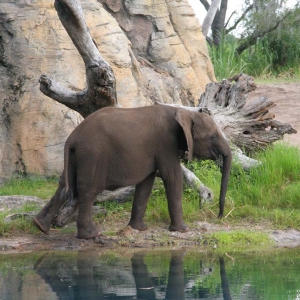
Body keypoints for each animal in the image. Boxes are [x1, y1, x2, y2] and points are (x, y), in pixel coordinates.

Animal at [34, 104, 233, 240]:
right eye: (213, 137)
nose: (219, 217)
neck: (183, 111)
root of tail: (72, 137)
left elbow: (146, 182)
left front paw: (139, 229)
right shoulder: (166, 142)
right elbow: (172, 176)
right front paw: (182, 230)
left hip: (77, 156)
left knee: (63, 186)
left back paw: (40, 226)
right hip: (92, 155)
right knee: (89, 191)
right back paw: (92, 234)